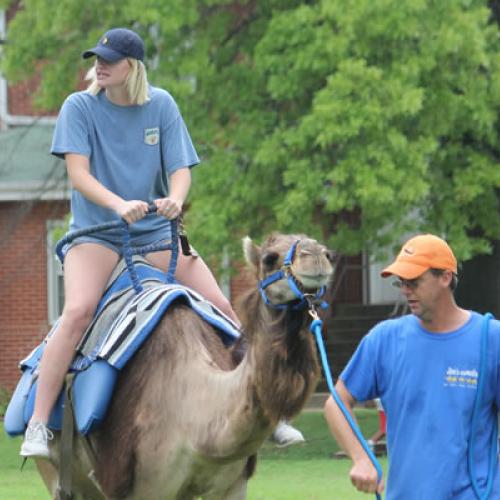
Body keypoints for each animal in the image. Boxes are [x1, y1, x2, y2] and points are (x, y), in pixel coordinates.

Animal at [34, 232, 332, 498]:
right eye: (269, 258)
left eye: (322, 247)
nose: (318, 255)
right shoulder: (146, 487)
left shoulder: (232, 484)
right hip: (56, 474)